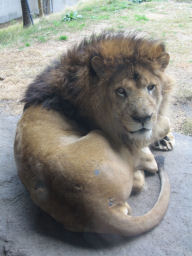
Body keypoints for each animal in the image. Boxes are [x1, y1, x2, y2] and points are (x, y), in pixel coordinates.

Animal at [14, 31, 174, 236]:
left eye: (151, 87)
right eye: (121, 91)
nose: (143, 117)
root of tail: (95, 207)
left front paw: (165, 139)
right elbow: (163, 123)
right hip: (100, 135)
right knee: (150, 166)